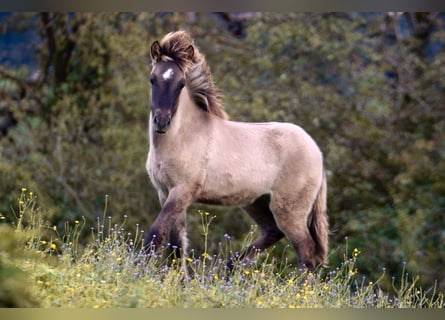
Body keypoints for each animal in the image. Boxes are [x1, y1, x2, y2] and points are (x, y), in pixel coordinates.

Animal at [144, 29, 328, 270]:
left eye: (181, 84)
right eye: (152, 79)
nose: (162, 122)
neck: (182, 137)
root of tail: (317, 152)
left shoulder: (182, 190)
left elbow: (155, 235)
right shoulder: (165, 192)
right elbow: (175, 246)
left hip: (290, 210)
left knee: (306, 254)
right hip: (257, 202)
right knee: (273, 231)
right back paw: (230, 266)